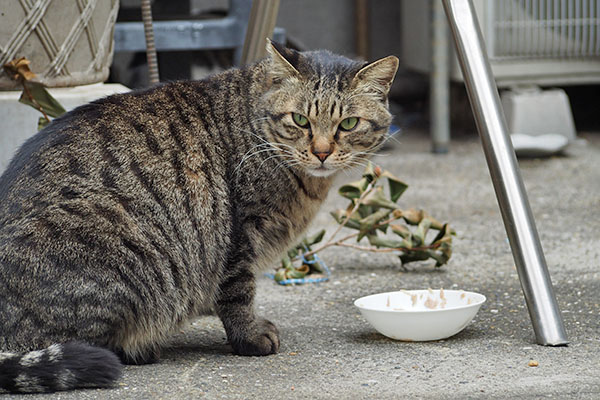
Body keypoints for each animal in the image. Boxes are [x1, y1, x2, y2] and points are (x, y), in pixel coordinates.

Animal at [0, 41, 396, 394]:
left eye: (349, 124)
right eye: (300, 120)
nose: (322, 152)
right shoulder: (242, 234)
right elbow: (238, 294)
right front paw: (250, 337)